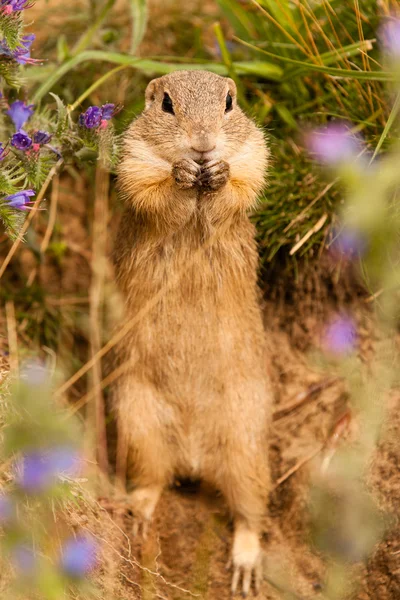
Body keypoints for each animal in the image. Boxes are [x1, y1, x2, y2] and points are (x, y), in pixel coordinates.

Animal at [114, 70, 274, 596]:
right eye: (167, 104)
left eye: (229, 103)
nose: (203, 146)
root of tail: (194, 457)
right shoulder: (135, 162)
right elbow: (153, 191)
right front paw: (183, 175)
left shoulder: (253, 155)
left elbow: (240, 185)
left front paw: (216, 173)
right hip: (139, 428)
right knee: (152, 481)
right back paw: (138, 514)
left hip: (247, 448)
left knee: (250, 513)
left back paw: (245, 567)